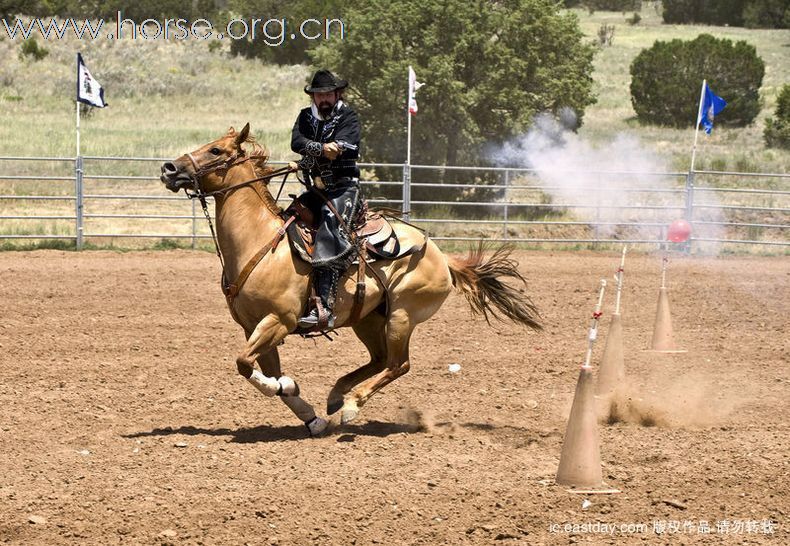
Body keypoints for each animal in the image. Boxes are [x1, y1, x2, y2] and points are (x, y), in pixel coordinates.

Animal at [161, 122, 544, 434]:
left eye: (215, 150)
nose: (169, 168)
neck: (262, 242)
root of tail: (442, 256)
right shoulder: (254, 327)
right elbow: (258, 369)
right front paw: (308, 414)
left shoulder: (278, 321)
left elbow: (245, 365)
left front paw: (287, 386)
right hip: (368, 319)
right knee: (379, 360)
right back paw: (336, 396)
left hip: (401, 317)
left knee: (398, 364)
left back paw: (350, 406)